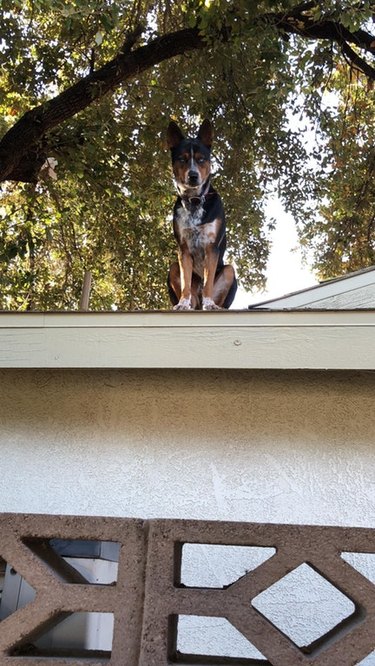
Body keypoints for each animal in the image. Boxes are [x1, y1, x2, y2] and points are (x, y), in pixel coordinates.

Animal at [167, 120, 238, 312]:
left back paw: (213, 305)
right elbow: (185, 283)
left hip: (229, 270)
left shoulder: (211, 247)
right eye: (182, 159)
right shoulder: (183, 250)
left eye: (201, 159)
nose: (193, 175)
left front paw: (210, 304)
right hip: (173, 267)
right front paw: (182, 304)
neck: (194, 201)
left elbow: (208, 284)